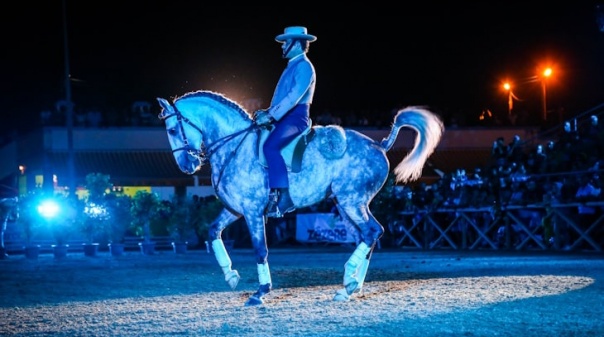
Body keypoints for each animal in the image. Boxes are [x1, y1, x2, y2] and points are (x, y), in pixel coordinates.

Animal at [156, 89, 444, 304]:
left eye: (172, 130)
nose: (187, 166)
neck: (234, 147)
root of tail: (378, 144)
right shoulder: (236, 209)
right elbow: (213, 230)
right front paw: (230, 275)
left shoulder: (252, 211)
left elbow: (260, 249)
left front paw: (261, 291)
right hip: (348, 204)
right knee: (366, 235)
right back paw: (351, 285)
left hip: (352, 201)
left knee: (373, 232)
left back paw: (347, 284)